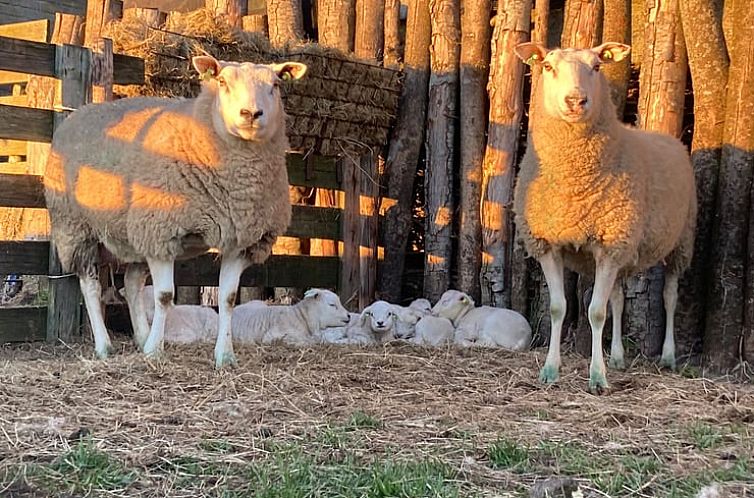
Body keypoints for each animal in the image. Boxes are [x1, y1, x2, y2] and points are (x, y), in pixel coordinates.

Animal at [43, 54, 306, 368]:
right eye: (222, 82)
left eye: (276, 85)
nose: (251, 114)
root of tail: (75, 115)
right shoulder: (161, 231)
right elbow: (165, 296)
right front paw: (154, 352)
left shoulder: (241, 240)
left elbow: (228, 298)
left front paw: (225, 356)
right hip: (75, 226)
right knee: (91, 286)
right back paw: (105, 346)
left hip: (135, 234)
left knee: (132, 283)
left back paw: (141, 337)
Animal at [512, 41, 692, 392]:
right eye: (548, 67)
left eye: (597, 66)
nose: (575, 100)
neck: (574, 185)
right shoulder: (549, 244)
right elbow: (559, 308)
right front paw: (550, 371)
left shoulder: (609, 245)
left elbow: (596, 312)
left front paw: (597, 377)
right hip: (624, 249)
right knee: (619, 299)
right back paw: (619, 357)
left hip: (680, 242)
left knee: (670, 295)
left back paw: (668, 357)